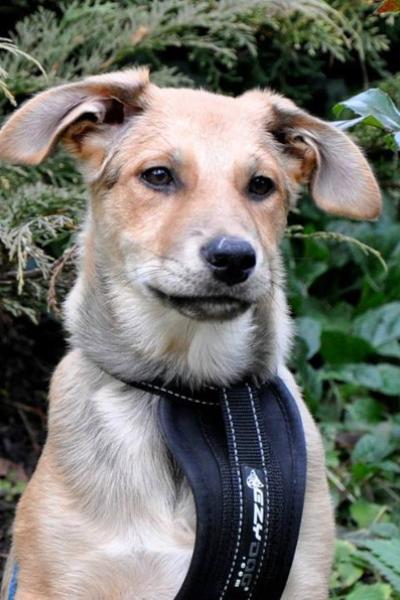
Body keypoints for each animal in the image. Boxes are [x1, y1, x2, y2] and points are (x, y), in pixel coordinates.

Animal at [0, 68, 381, 599]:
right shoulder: (54, 580)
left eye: (261, 185)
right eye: (158, 175)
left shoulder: (303, 577)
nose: (234, 258)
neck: (192, 391)